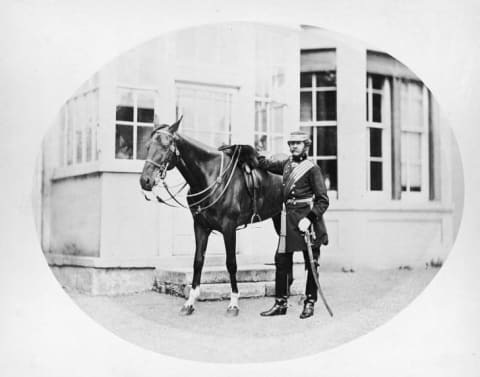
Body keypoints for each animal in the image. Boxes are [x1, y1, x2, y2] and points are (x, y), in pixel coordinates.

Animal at [138, 117, 284, 314]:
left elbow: (231, 263)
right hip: (278, 217)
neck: (210, 176)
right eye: (148, 146)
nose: (145, 181)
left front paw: (233, 303)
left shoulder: (229, 228)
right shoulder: (200, 226)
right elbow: (198, 261)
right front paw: (190, 302)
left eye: (166, 146)